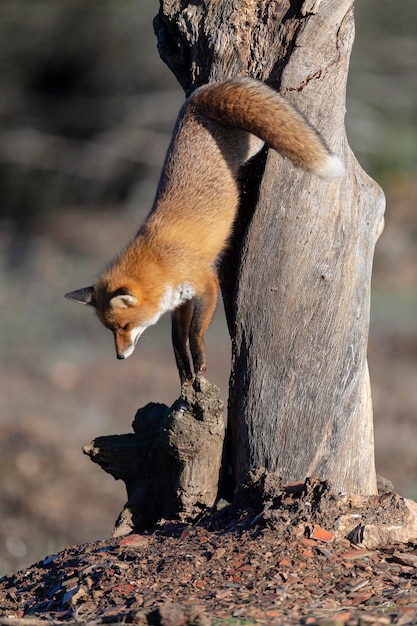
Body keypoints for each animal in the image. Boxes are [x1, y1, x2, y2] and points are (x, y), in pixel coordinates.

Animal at [66, 75, 344, 382]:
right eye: (111, 330)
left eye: (125, 326)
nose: (120, 356)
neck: (160, 260)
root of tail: (198, 99)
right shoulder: (180, 300)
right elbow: (178, 337)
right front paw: (184, 367)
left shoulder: (207, 283)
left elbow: (195, 331)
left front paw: (199, 359)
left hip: (255, 145)